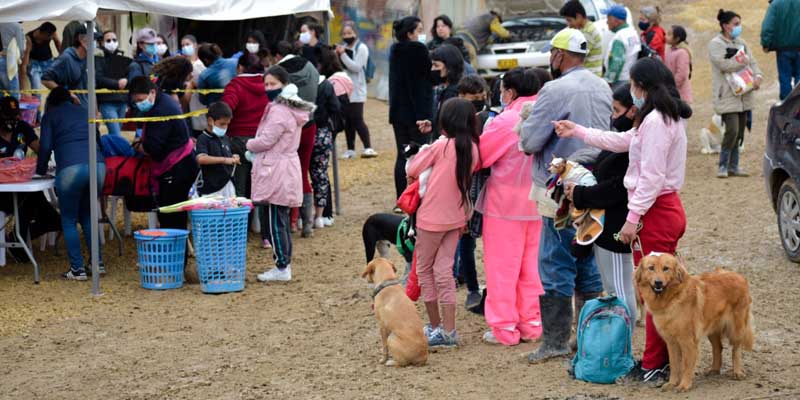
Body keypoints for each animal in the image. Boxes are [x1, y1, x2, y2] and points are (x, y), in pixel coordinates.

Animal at [636, 255, 752, 392]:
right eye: (651, 268)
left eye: (666, 268)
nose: (658, 282)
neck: (672, 298)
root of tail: (739, 276)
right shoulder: (671, 342)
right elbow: (674, 365)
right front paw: (672, 383)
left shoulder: (688, 341)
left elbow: (686, 365)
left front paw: (684, 385)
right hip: (712, 329)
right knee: (718, 347)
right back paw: (714, 369)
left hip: (736, 328)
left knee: (736, 350)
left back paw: (737, 372)